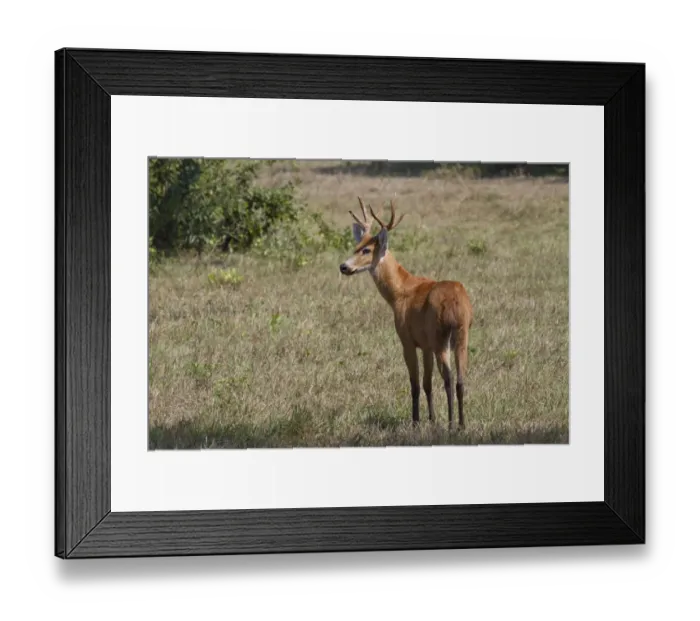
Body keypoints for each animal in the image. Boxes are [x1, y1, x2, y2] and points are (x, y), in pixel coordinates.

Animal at [339, 197, 474, 430]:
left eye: (366, 250)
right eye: (356, 246)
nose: (344, 266)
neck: (399, 292)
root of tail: (455, 304)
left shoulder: (407, 340)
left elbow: (415, 384)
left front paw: (416, 421)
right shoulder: (426, 345)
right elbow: (427, 383)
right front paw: (431, 419)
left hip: (440, 336)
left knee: (448, 378)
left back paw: (450, 424)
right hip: (461, 334)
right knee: (460, 378)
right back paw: (461, 424)